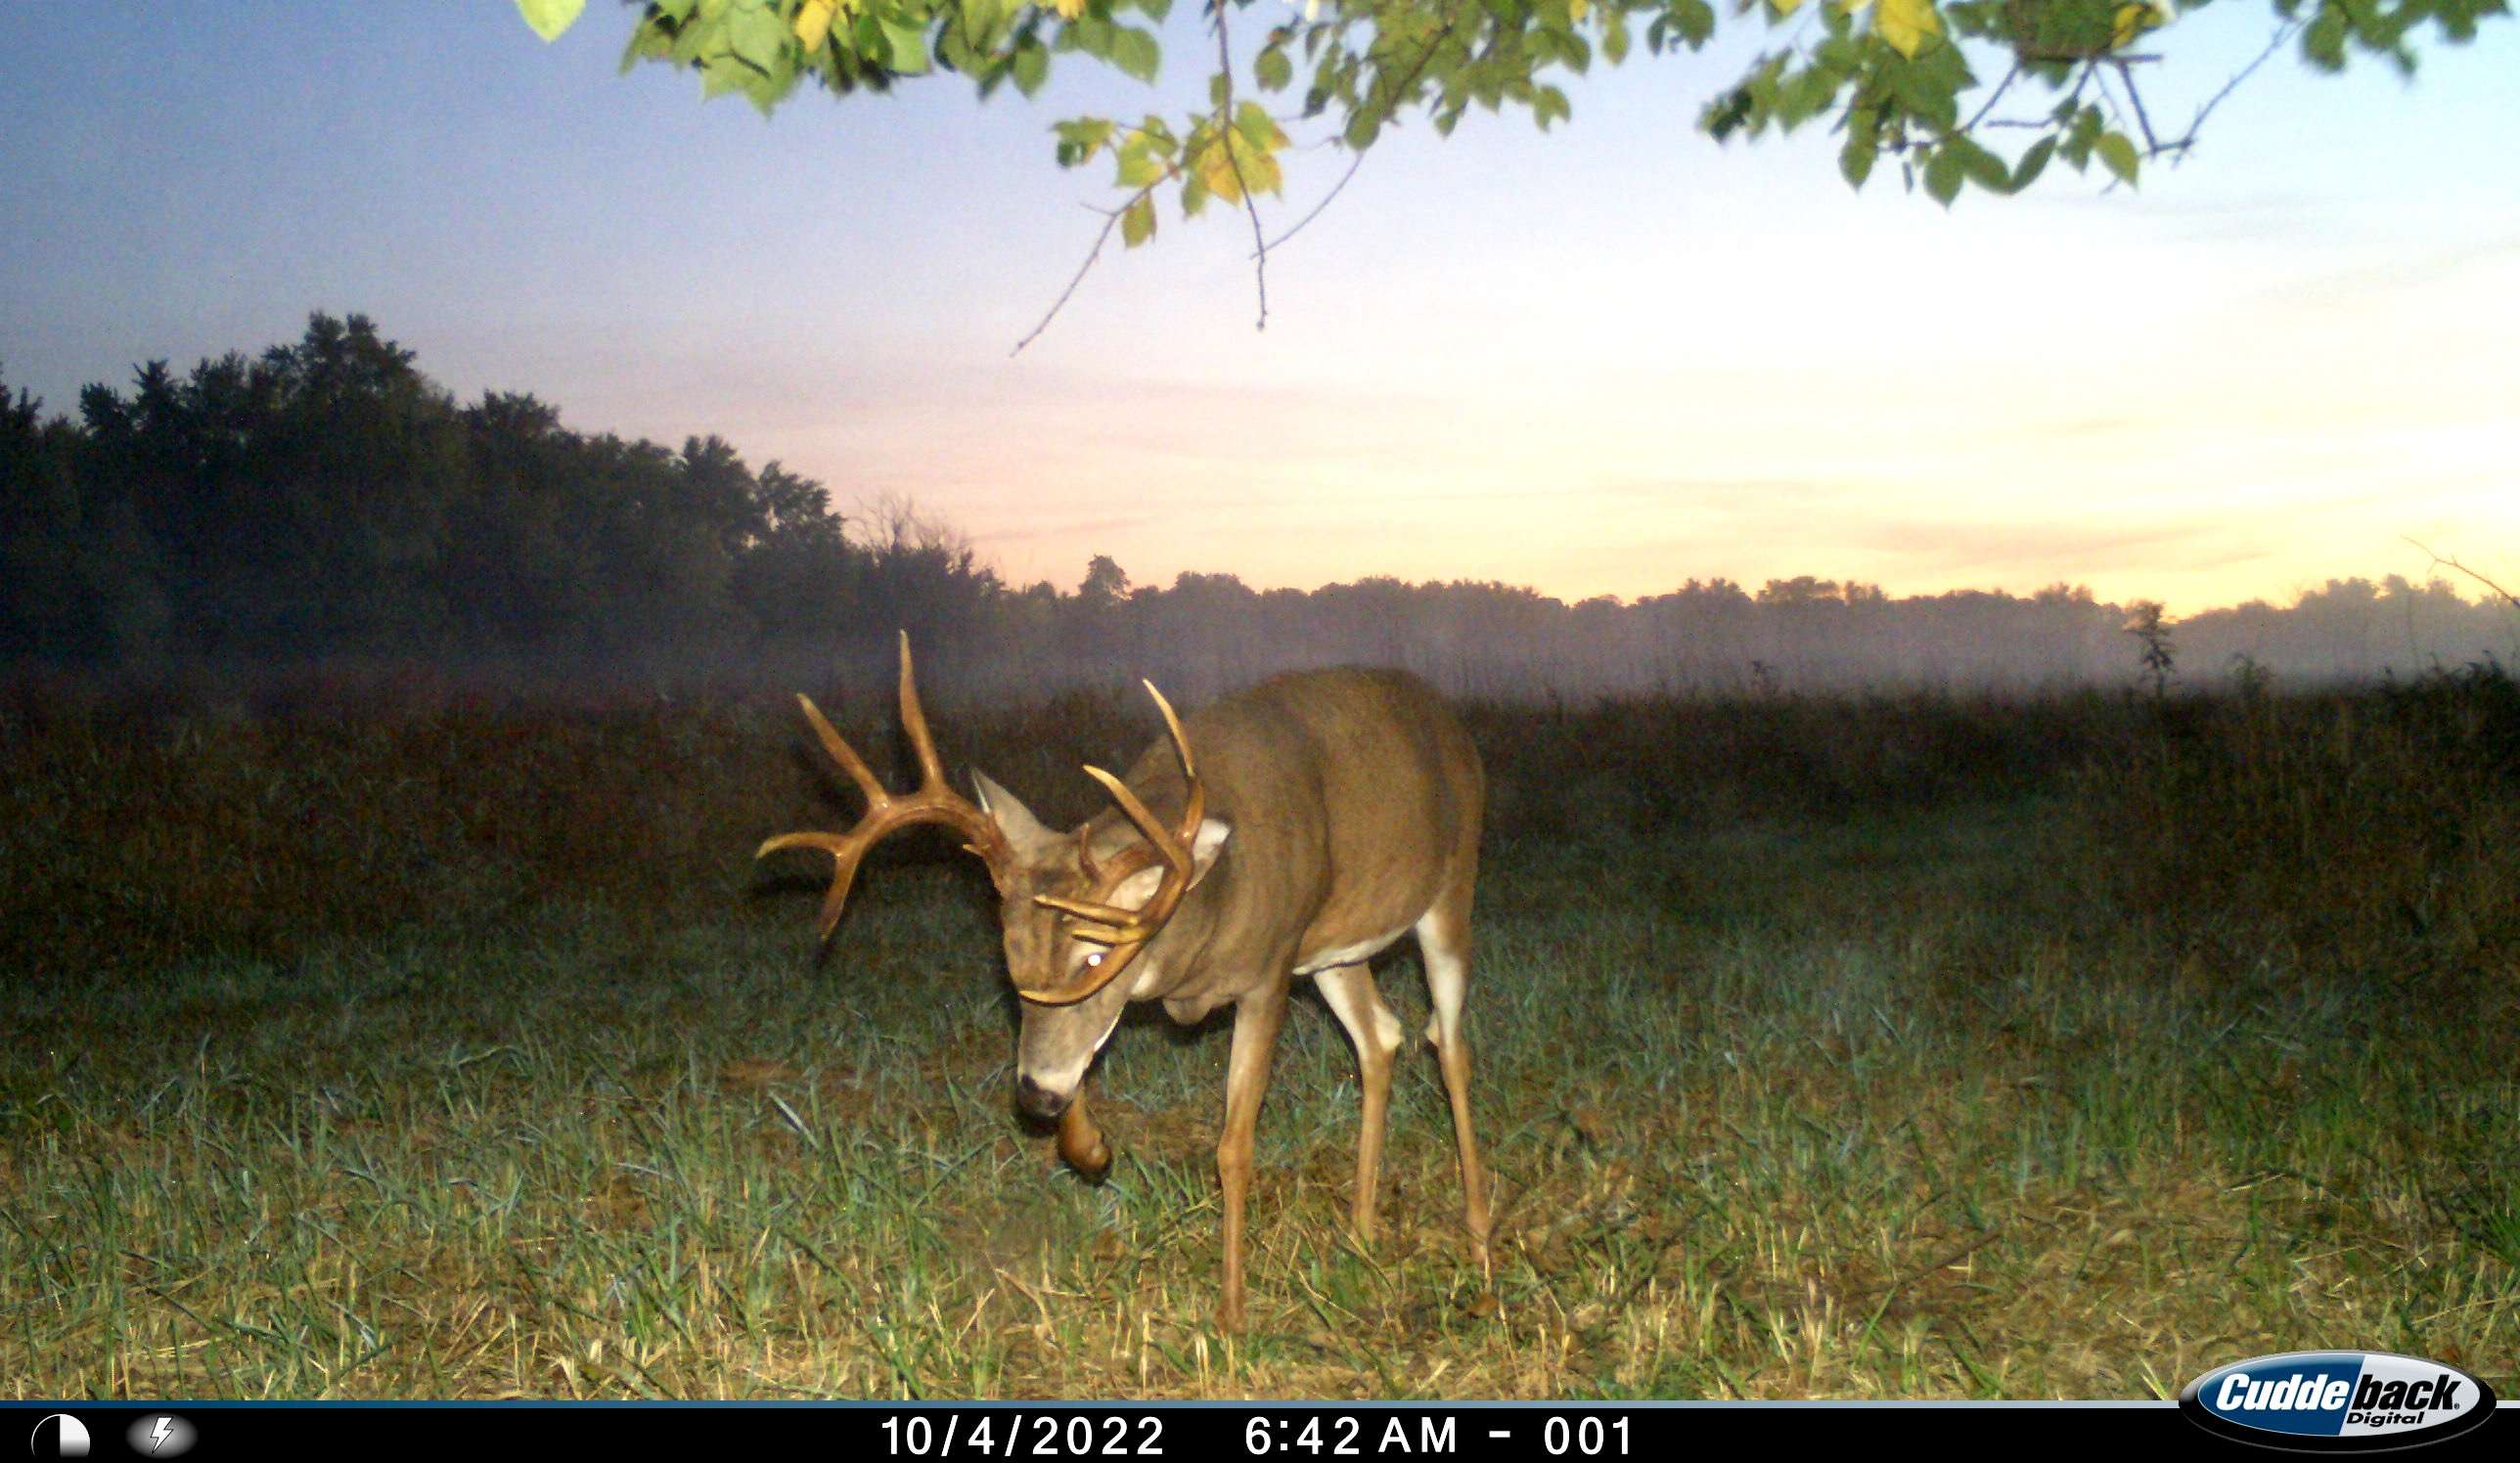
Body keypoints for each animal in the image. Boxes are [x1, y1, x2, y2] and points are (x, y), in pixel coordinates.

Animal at [757, 634, 1491, 1332]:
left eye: (1093, 958)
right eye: (1011, 956)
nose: (1033, 1098)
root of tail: (1446, 719)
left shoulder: (1268, 973)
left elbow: (1233, 1147)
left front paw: (1231, 1314)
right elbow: (1078, 1058)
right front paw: (1090, 1151)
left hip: (1450, 891)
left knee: (1449, 1044)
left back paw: (1479, 1238)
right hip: (1335, 952)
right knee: (1382, 1037)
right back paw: (1361, 1234)